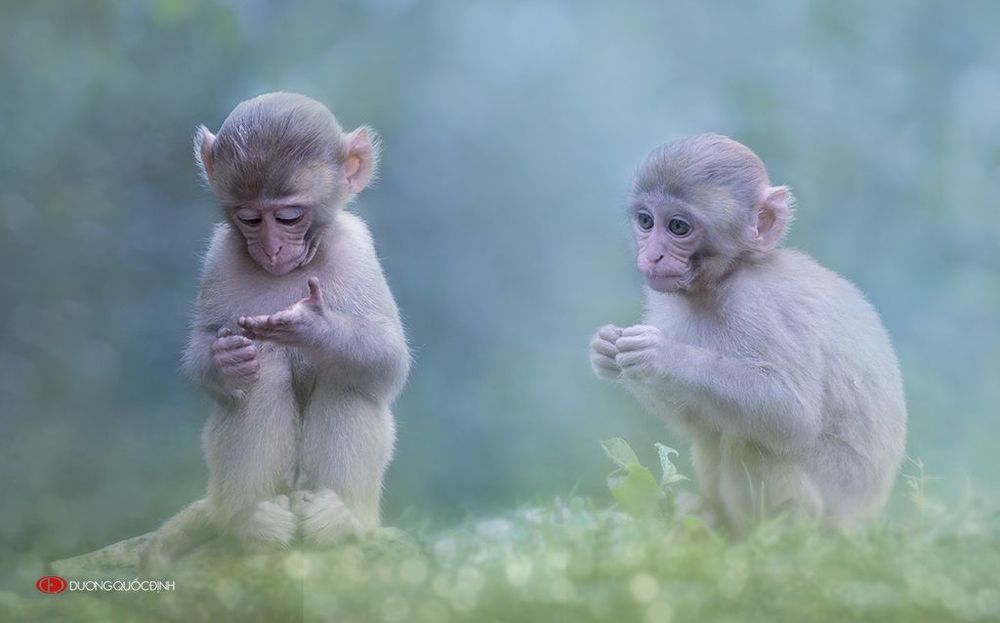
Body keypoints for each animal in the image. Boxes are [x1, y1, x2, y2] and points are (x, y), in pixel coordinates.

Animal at [146, 92, 409, 561]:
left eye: (289, 216)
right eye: (250, 218)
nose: (270, 249)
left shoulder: (357, 248)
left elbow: (389, 356)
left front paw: (313, 327)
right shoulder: (220, 254)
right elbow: (205, 346)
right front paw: (224, 360)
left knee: (348, 373)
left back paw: (339, 520)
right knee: (264, 365)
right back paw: (250, 523)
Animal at [589, 134, 906, 531]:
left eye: (678, 227)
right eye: (646, 221)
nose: (653, 255)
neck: (726, 277)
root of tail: (866, 516)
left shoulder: (758, 305)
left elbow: (793, 413)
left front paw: (664, 356)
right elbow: (695, 419)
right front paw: (606, 350)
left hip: (838, 493)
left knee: (751, 440)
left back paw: (781, 534)